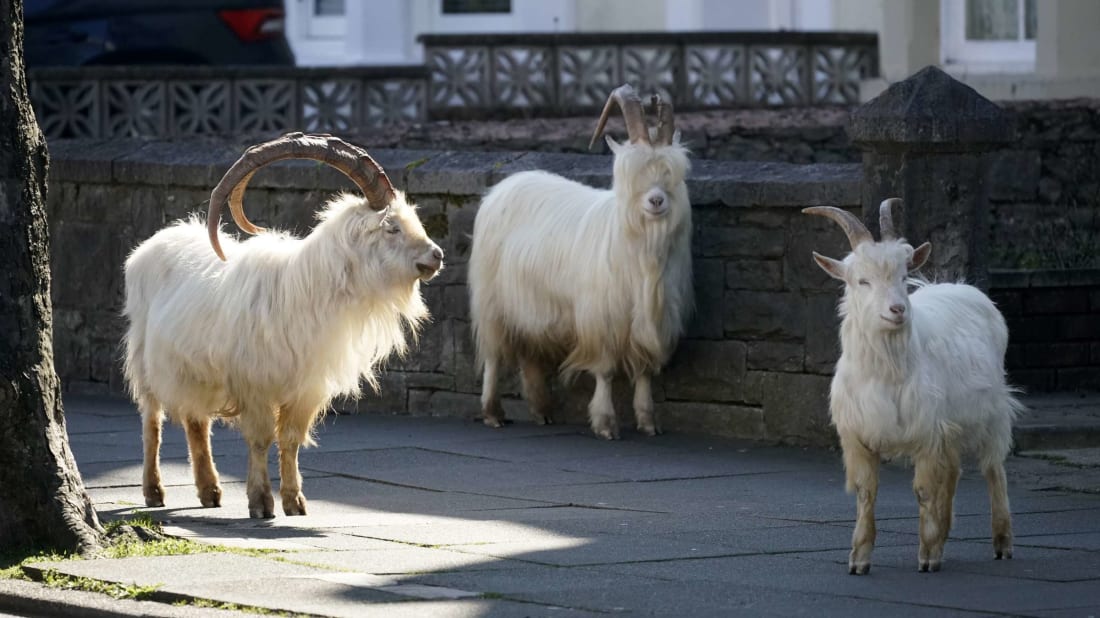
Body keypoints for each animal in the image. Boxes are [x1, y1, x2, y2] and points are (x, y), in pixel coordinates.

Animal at [123, 132, 442, 516]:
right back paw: (154, 490)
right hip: (146, 359)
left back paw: (210, 490)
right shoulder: (255, 383)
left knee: (195, 421)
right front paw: (261, 502)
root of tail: (152, 244)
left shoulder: (306, 387)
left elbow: (289, 440)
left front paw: (294, 501)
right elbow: (261, 438)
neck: (308, 289)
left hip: (196, 372)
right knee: (152, 421)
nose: (437, 256)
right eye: (392, 227)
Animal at [468, 84, 690, 437]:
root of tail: (502, 187)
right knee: (493, 355)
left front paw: (647, 421)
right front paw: (606, 423)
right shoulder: (600, 318)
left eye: (674, 173)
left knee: (530, 355)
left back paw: (542, 410)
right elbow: (606, 370)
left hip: (532, 308)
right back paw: (493, 413)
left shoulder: (650, 320)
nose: (657, 201)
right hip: (493, 301)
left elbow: (643, 370)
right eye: (632, 171)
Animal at [809, 200, 1020, 576]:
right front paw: (859, 558)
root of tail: (964, 287)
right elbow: (866, 492)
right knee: (953, 470)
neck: (886, 373)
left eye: (903, 276)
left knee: (993, 468)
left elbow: (924, 492)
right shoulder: (859, 436)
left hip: (992, 411)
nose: (897, 310)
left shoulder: (927, 432)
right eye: (862, 280)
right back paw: (946, 533)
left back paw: (1001, 542)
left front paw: (927, 555)